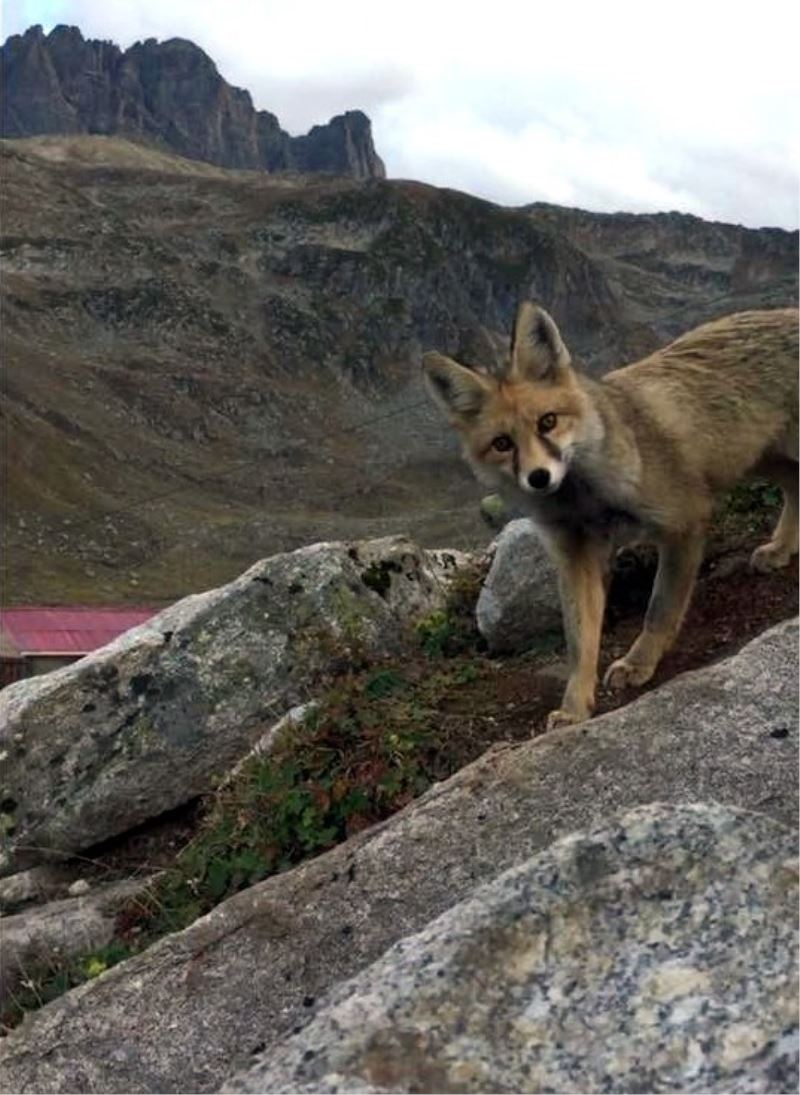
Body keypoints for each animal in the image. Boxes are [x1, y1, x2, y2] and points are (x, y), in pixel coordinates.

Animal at [422, 300, 796, 731]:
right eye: (503, 444)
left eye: (547, 421)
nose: (538, 477)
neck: (587, 500)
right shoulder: (576, 554)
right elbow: (580, 643)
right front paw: (574, 707)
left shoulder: (684, 521)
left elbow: (659, 610)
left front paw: (639, 662)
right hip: (762, 460)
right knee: (795, 488)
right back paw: (781, 549)